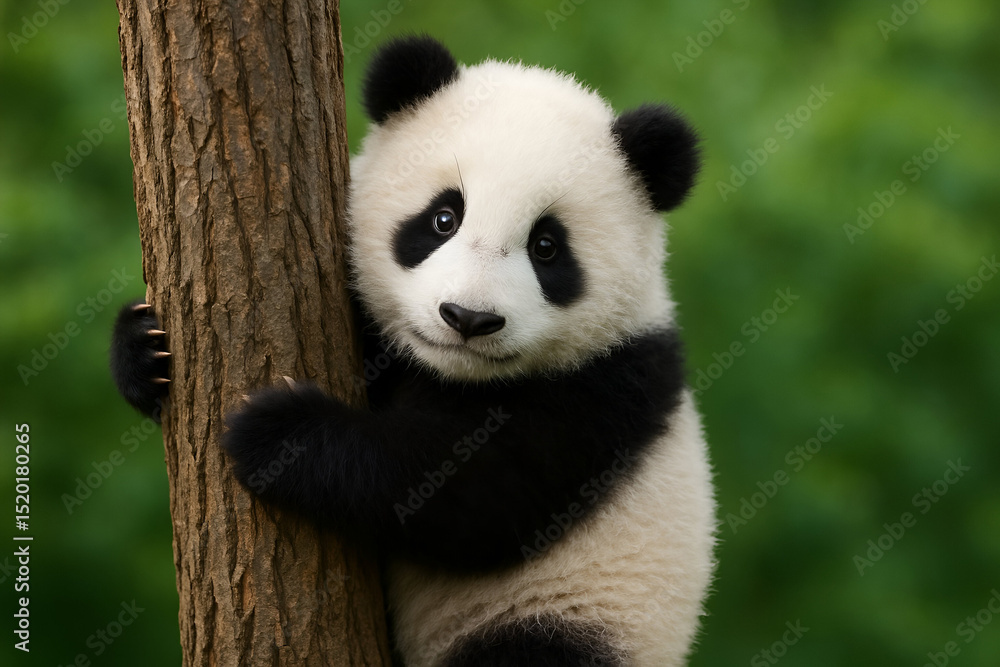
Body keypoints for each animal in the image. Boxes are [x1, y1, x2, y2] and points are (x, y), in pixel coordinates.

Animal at [111, 36, 715, 667]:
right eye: (443, 218)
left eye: (547, 247)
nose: (468, 318)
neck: (450, 373)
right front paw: (143, 353)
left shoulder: (604, 391)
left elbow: (467, 494)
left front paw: (278, 436)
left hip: (572, 619)